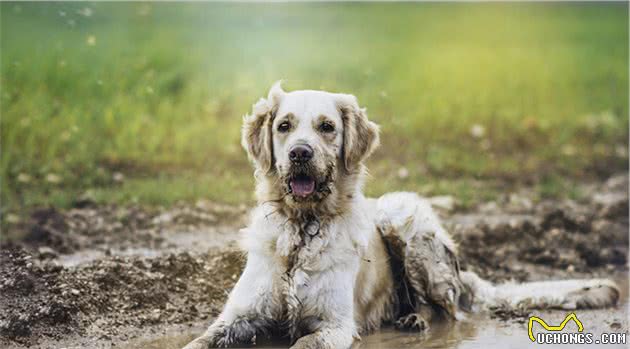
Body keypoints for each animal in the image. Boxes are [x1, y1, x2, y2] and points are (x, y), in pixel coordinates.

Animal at [184, 82, 624, 348]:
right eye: (284, 126)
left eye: (326, 127)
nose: (299, 153)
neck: (302, 228)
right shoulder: (238, 315)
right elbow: (200, 340)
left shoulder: (335, 325)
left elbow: (304, 340)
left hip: (404, 220)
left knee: (450, 312)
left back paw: (415, 320)